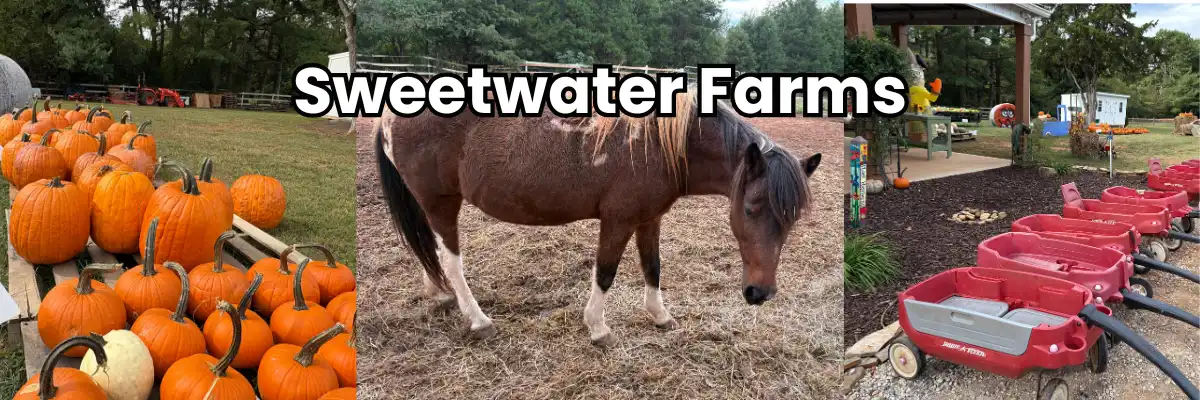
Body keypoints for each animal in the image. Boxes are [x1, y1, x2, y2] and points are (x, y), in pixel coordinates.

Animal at [374, 92, 821, 346]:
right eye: (751, 208)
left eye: (792, 219)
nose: (760, 293)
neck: (658, 145)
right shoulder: (618, 221)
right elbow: (605, 273)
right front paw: (598, 328)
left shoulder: (649, 219)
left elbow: (653, 266)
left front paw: (660, 316)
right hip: (441, 204)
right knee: (450, 260)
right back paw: (478, 319)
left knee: (430, 253)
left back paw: (439, 294)